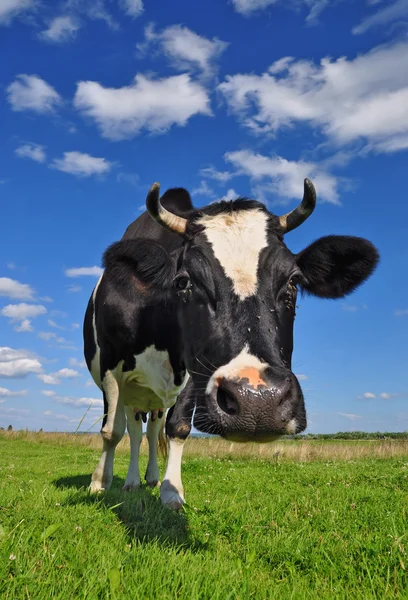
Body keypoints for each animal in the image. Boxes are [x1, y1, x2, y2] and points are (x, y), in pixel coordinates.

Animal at [83, 179, 380, 510]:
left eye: (293, 281)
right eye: (184, 281)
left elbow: (178, 427)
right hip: (132, 392)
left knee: (148, 431)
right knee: (132, 431)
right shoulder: (110, 367)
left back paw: (147, 478)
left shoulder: (194, 370)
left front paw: (171, 491)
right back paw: (130, 481)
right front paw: (99, 483)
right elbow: (111, 431)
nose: (258, 401)